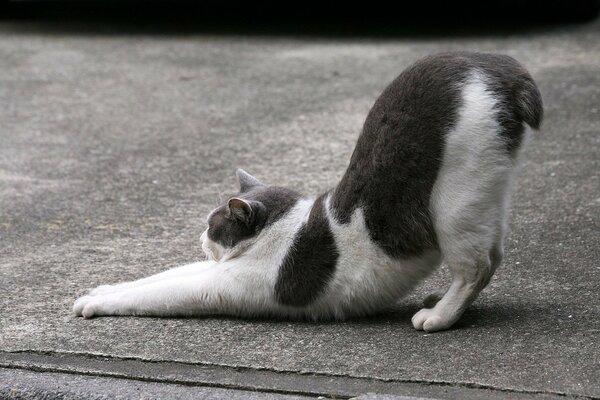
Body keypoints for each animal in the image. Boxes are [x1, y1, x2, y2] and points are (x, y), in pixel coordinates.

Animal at [74, 51, 544, 332]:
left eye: (212, 225)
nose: (200, 238)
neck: (281, 228)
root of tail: (498, 65)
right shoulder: (216, 270)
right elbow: (160, 276)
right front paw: (102, 289)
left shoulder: (225, 284)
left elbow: (159, 292)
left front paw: (96, 303)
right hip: (489, 195)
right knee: (494, 253)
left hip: (455, 202)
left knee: (476, 266)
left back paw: (439, 315)